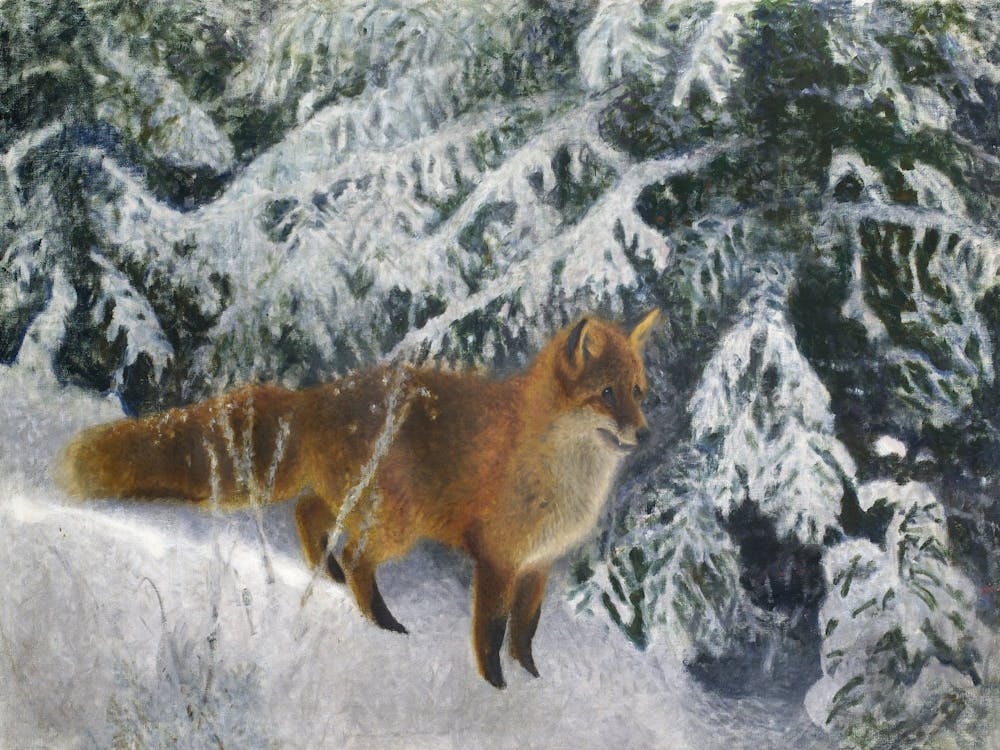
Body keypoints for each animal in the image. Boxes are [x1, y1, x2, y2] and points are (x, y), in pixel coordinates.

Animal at [55, 309, 660, 688]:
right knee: (354, 554)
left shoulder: (538, 565)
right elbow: (490, 636)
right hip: (395, 523)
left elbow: (525, 635)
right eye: (606, 394)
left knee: (308, 514)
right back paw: (382, 624)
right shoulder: (497, 559)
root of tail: (318, 396)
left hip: (360, 505)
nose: (646, 434)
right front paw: (496, 690)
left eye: (638, 392)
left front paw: (533, 680)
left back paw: (327, 577)